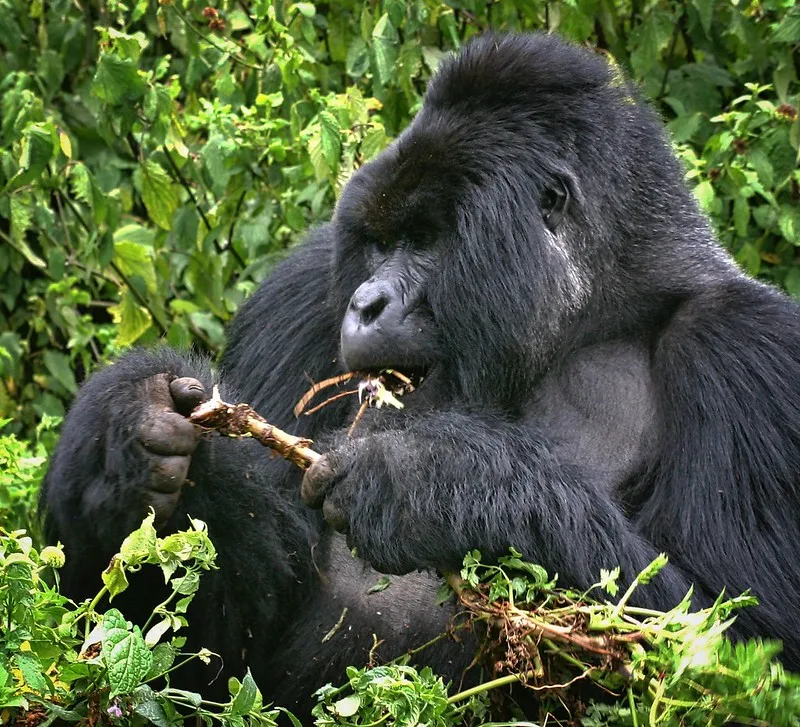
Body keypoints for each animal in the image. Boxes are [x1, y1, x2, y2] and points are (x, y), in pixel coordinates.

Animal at [40, 32, 800, 716]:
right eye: (379, 243)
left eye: (427, 238)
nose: (366, 302)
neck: (592, 314)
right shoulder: (303, 285)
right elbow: (205, 660)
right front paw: (134, 438)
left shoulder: (751, 352)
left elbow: (739, 649)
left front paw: (431, 481)